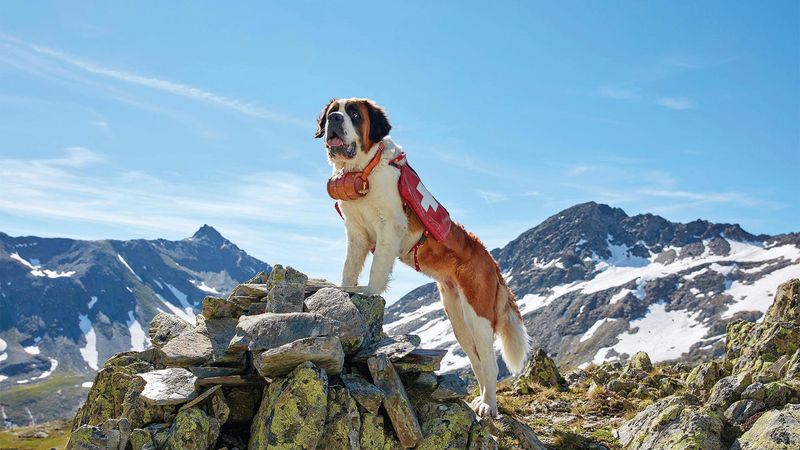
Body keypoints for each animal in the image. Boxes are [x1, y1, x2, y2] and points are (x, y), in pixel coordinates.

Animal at [314, 96, 532, 416]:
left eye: (354, 114)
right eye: (333, 112)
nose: (335, 120)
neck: (364, 169)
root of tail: (491, 261)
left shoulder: (390, 226)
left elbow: (377, 270)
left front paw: (369, 293)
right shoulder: (356, 233)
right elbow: (350, 267)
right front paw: (344, 289)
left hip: (477, 315)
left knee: (490, 364)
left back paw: (488, 407)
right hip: (457, 319)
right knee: (478, 363)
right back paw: (479, 399)